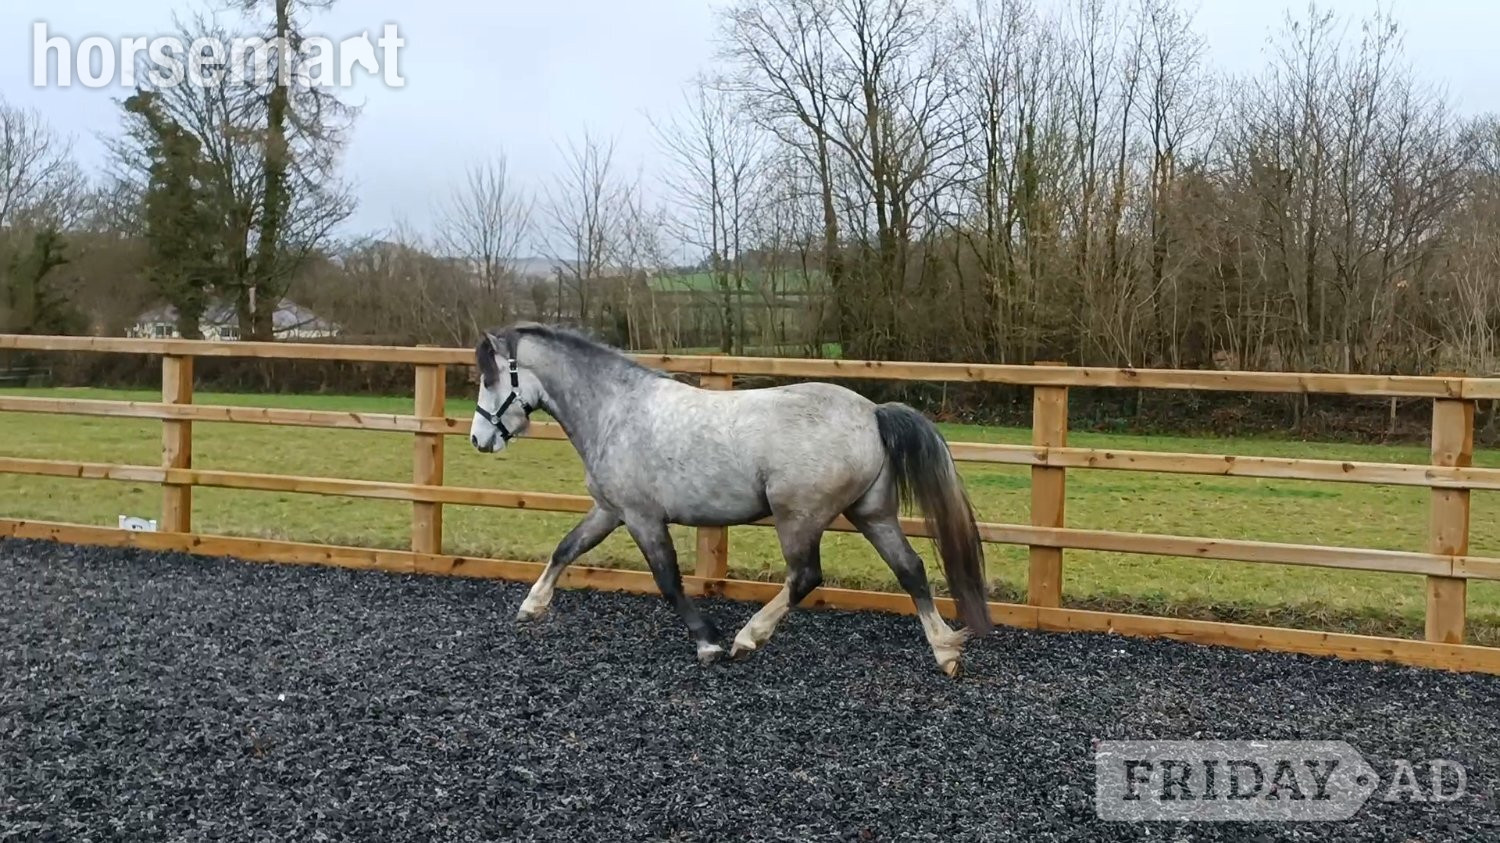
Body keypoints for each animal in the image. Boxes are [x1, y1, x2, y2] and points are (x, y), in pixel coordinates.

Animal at [468, 322, 993, 676]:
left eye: (490, 379)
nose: (478, 440)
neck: (616, 412)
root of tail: (872, 413)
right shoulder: (611, 511)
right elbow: (566, 548)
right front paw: (532, 605)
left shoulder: (642, 517)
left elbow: (668, 580)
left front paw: (709, 643)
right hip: (872, 513)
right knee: (911, 569)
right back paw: (945, 651)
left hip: (798, 516)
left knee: (805, 577)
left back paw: (748, 637)